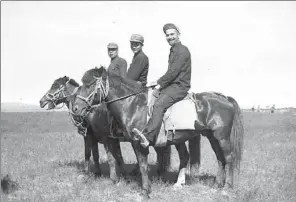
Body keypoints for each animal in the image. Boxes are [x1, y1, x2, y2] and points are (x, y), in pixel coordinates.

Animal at [39, 75, 173, 181]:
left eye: (55, 86)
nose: (41, 101)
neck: (92, 113)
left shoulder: (95, 137)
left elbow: (93, 154)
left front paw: (92, 173)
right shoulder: (99, 138)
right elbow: (103, 155)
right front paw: (106, 173)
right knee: (161, 153)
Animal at [71, 67, 243, 198]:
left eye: (90, 84)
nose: (76, 109)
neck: (133, 105)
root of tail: (225, 98)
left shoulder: (138, 143)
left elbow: (142, 165)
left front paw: (145, 191)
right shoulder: (129, 142)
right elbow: (127, 161)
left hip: (222, 137)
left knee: (229, 157)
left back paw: (227, 187)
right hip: (212, 137)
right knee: (220, 158)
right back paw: (217, 184)